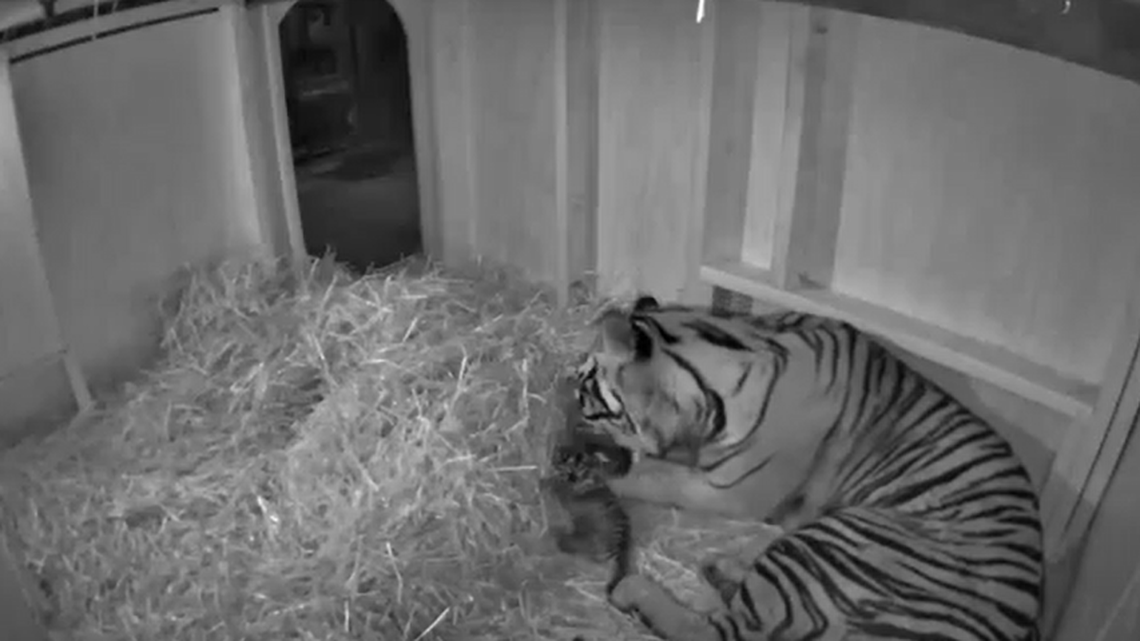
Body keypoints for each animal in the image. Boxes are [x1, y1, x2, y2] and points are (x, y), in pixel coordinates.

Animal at [570, 294, 1044, 641]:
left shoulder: (732, 488)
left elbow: (646, 476)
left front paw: (590, 471)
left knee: (724, 632)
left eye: (587, 396)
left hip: (839, 542)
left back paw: (634, 589)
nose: (570, 409)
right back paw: (724, 571)